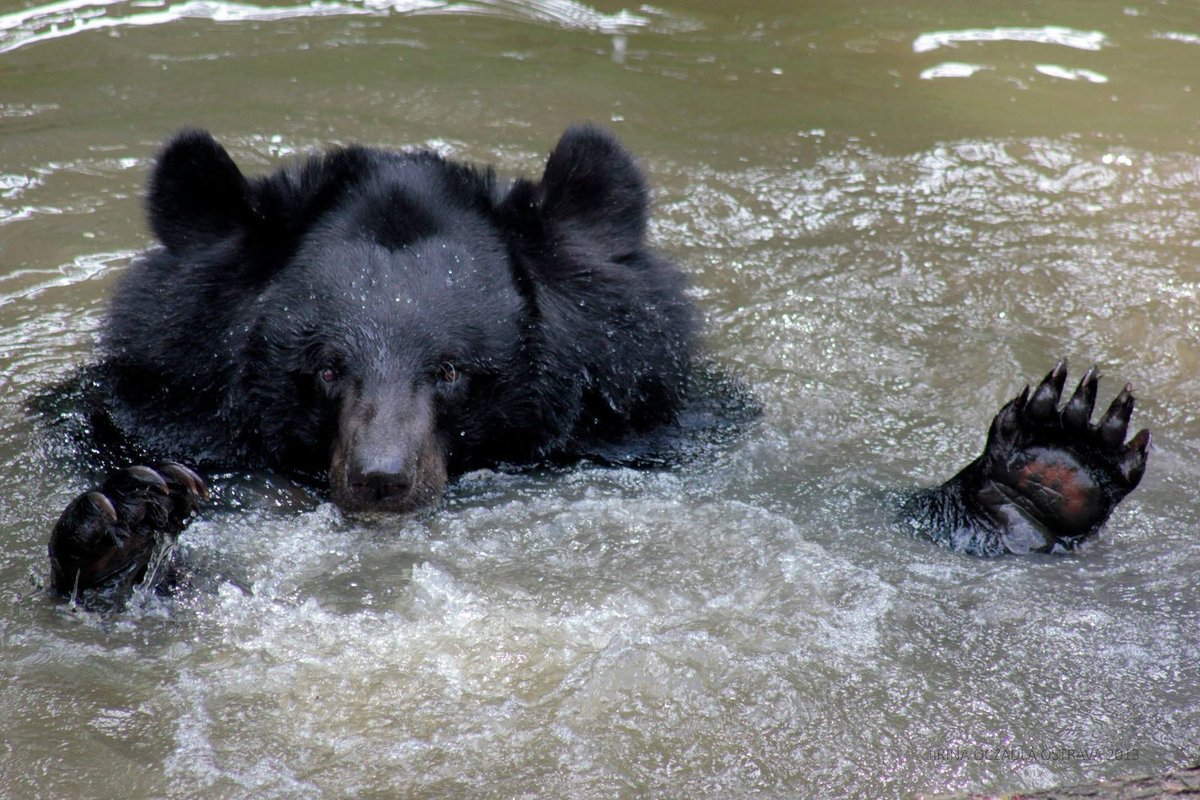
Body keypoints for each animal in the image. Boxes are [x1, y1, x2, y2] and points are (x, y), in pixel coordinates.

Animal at [46, 123, 1152, 599]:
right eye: (322, 367)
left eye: (454, 370)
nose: (381, 479)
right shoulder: (133, 415)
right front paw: (125, 530)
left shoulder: (660, 437)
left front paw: (1051, 460)